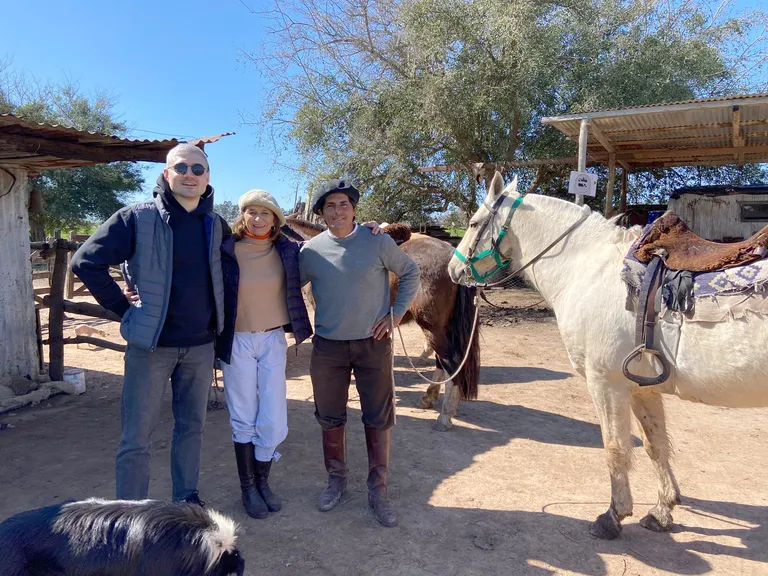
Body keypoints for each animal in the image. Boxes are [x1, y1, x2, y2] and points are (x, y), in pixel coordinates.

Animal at [284, 214, 484, 430]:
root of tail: (453, 259)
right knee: (445, 362)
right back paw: (429, 398)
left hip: (434, 328)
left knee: (451, 362)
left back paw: (445, 415)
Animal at [448, 171, 768, 540]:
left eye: (474, 223)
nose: (452, 269)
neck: (589, 269)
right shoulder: (642, 387)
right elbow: (655, 444)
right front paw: (662, 511)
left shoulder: (607, 382)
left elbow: (614, 446)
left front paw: (613, 516)